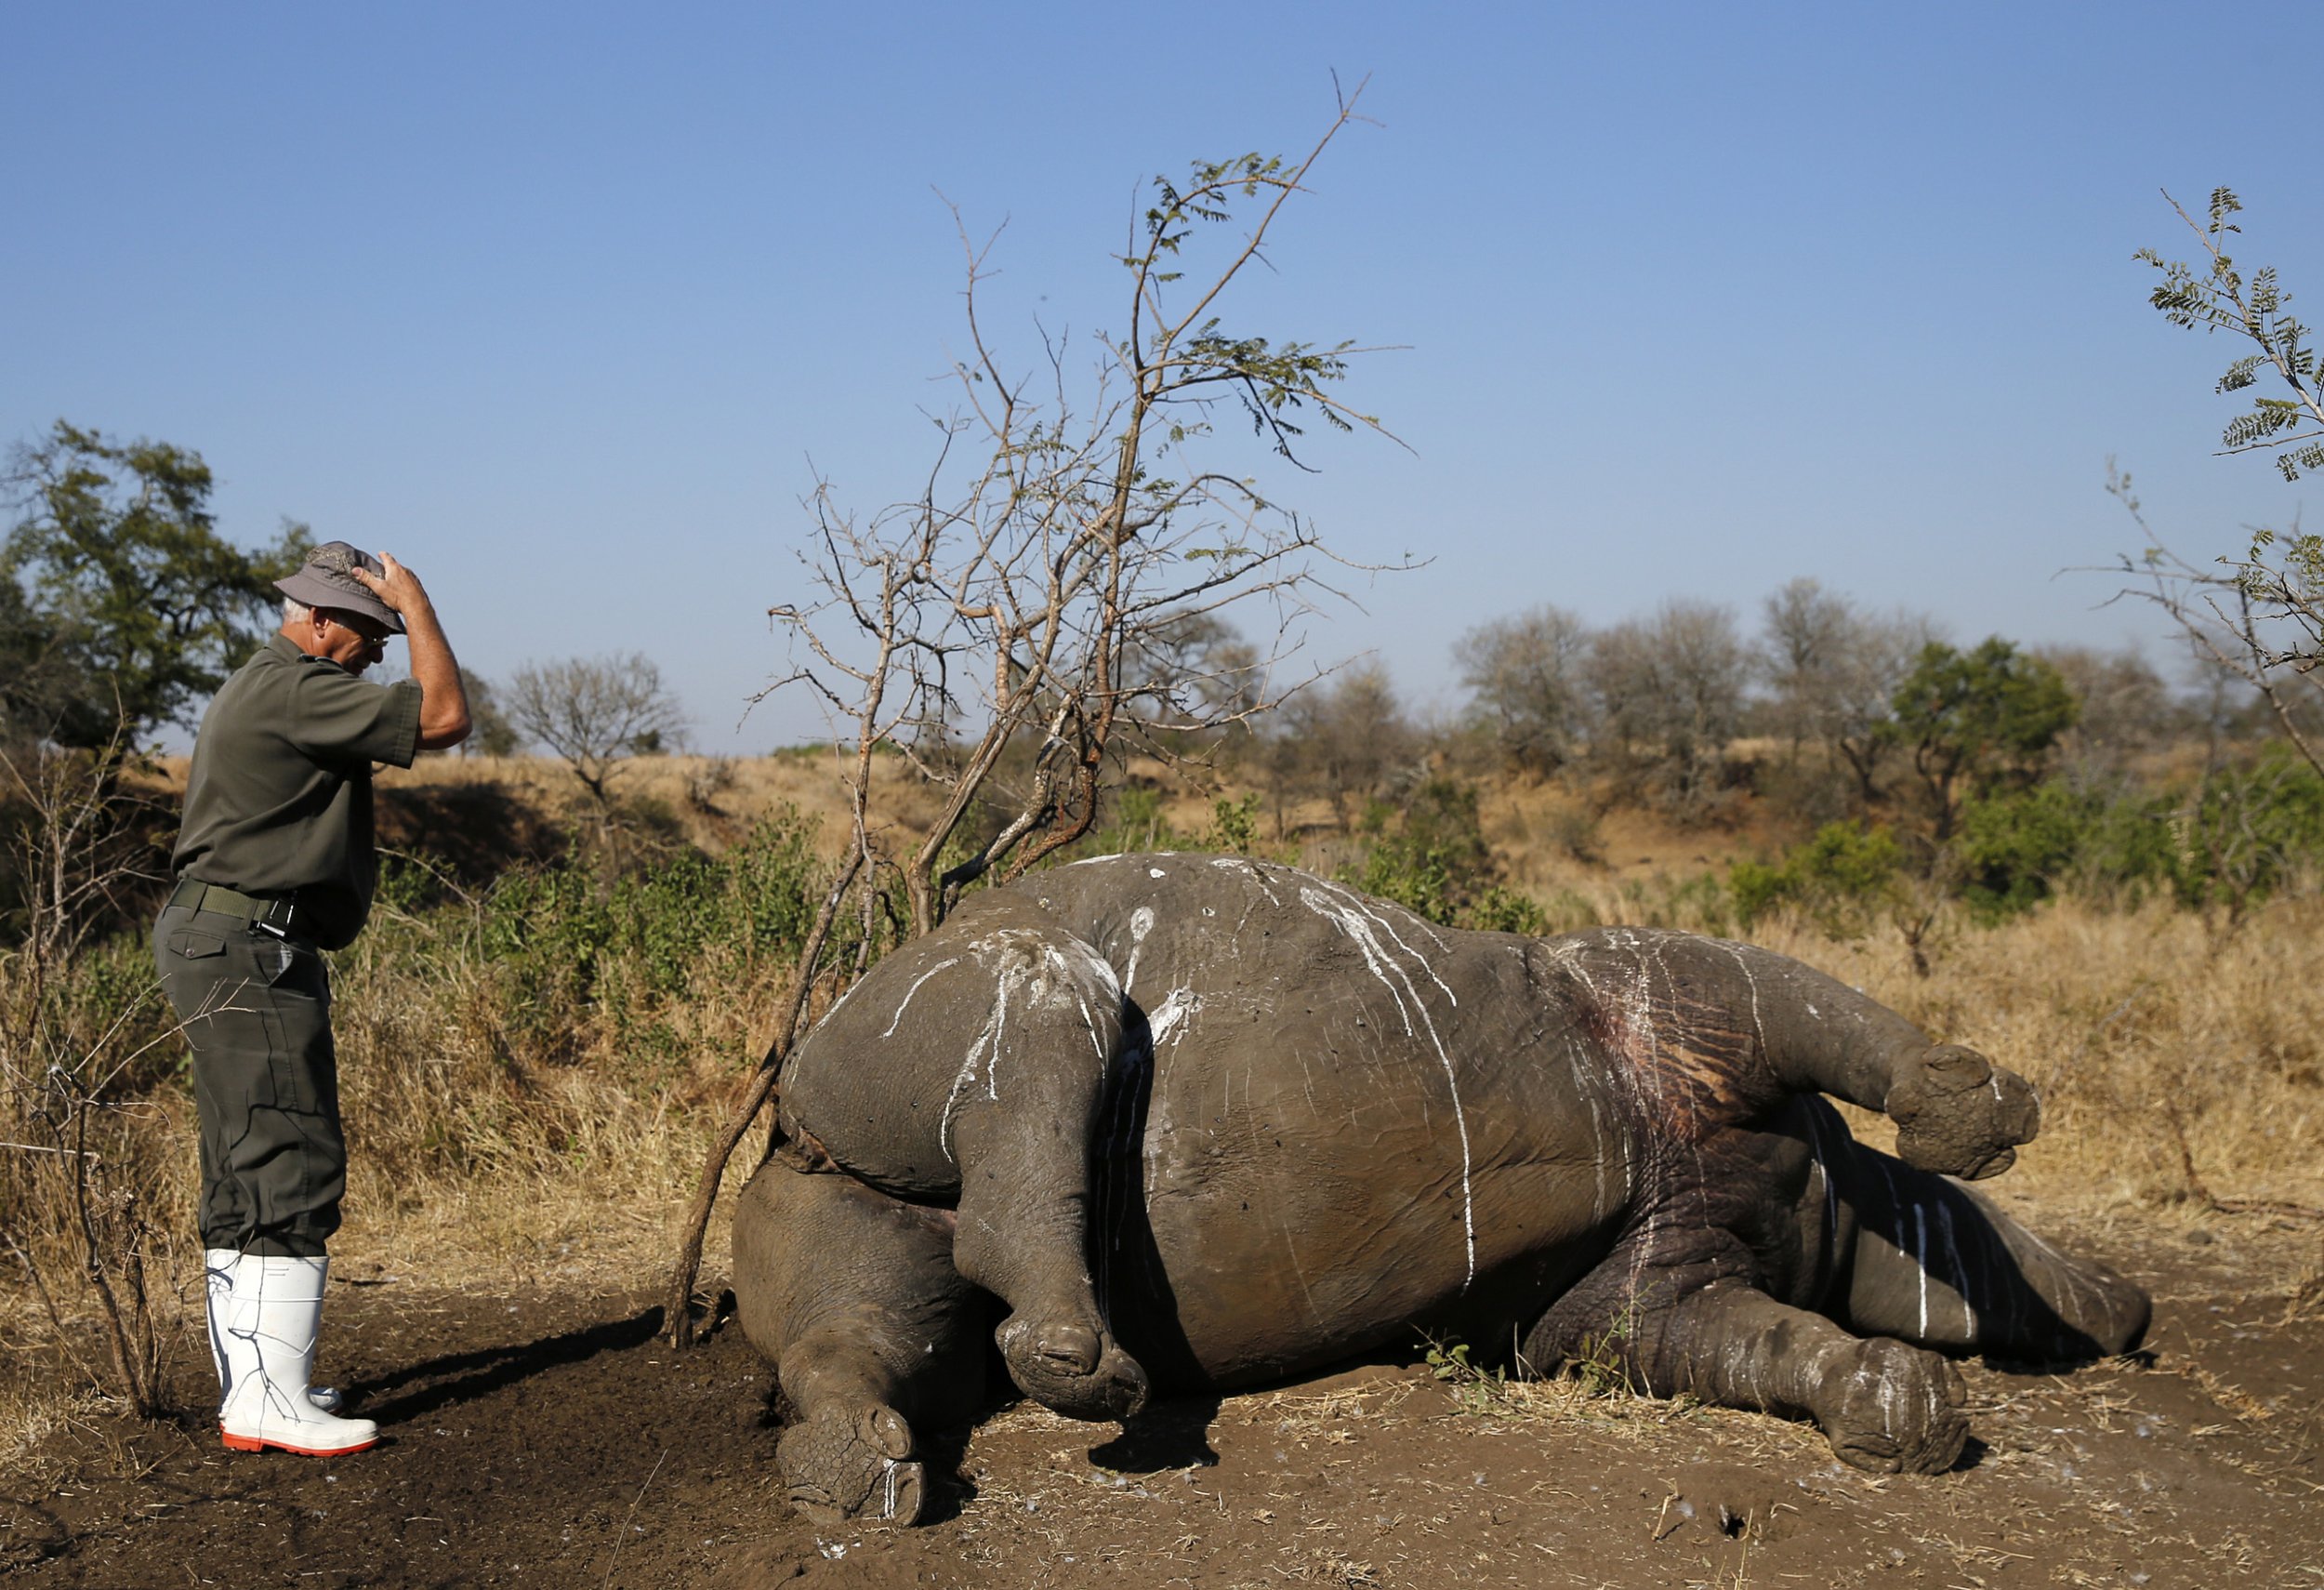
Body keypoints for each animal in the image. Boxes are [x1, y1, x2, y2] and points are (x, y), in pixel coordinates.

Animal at [734, 855, 2147, 1525]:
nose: (2129, 1310)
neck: (1829, 1201)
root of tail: (784, 1108)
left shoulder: (1636, 1305)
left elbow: (1754, 1343)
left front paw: (1894, 1403)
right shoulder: (1669, 988)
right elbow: (1808, 999)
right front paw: (1978, 1109)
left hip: (827, 1181)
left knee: (871, 1318)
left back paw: (853, 1468)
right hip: (902, 1017)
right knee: (1042, 995)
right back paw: (1082, 1366)